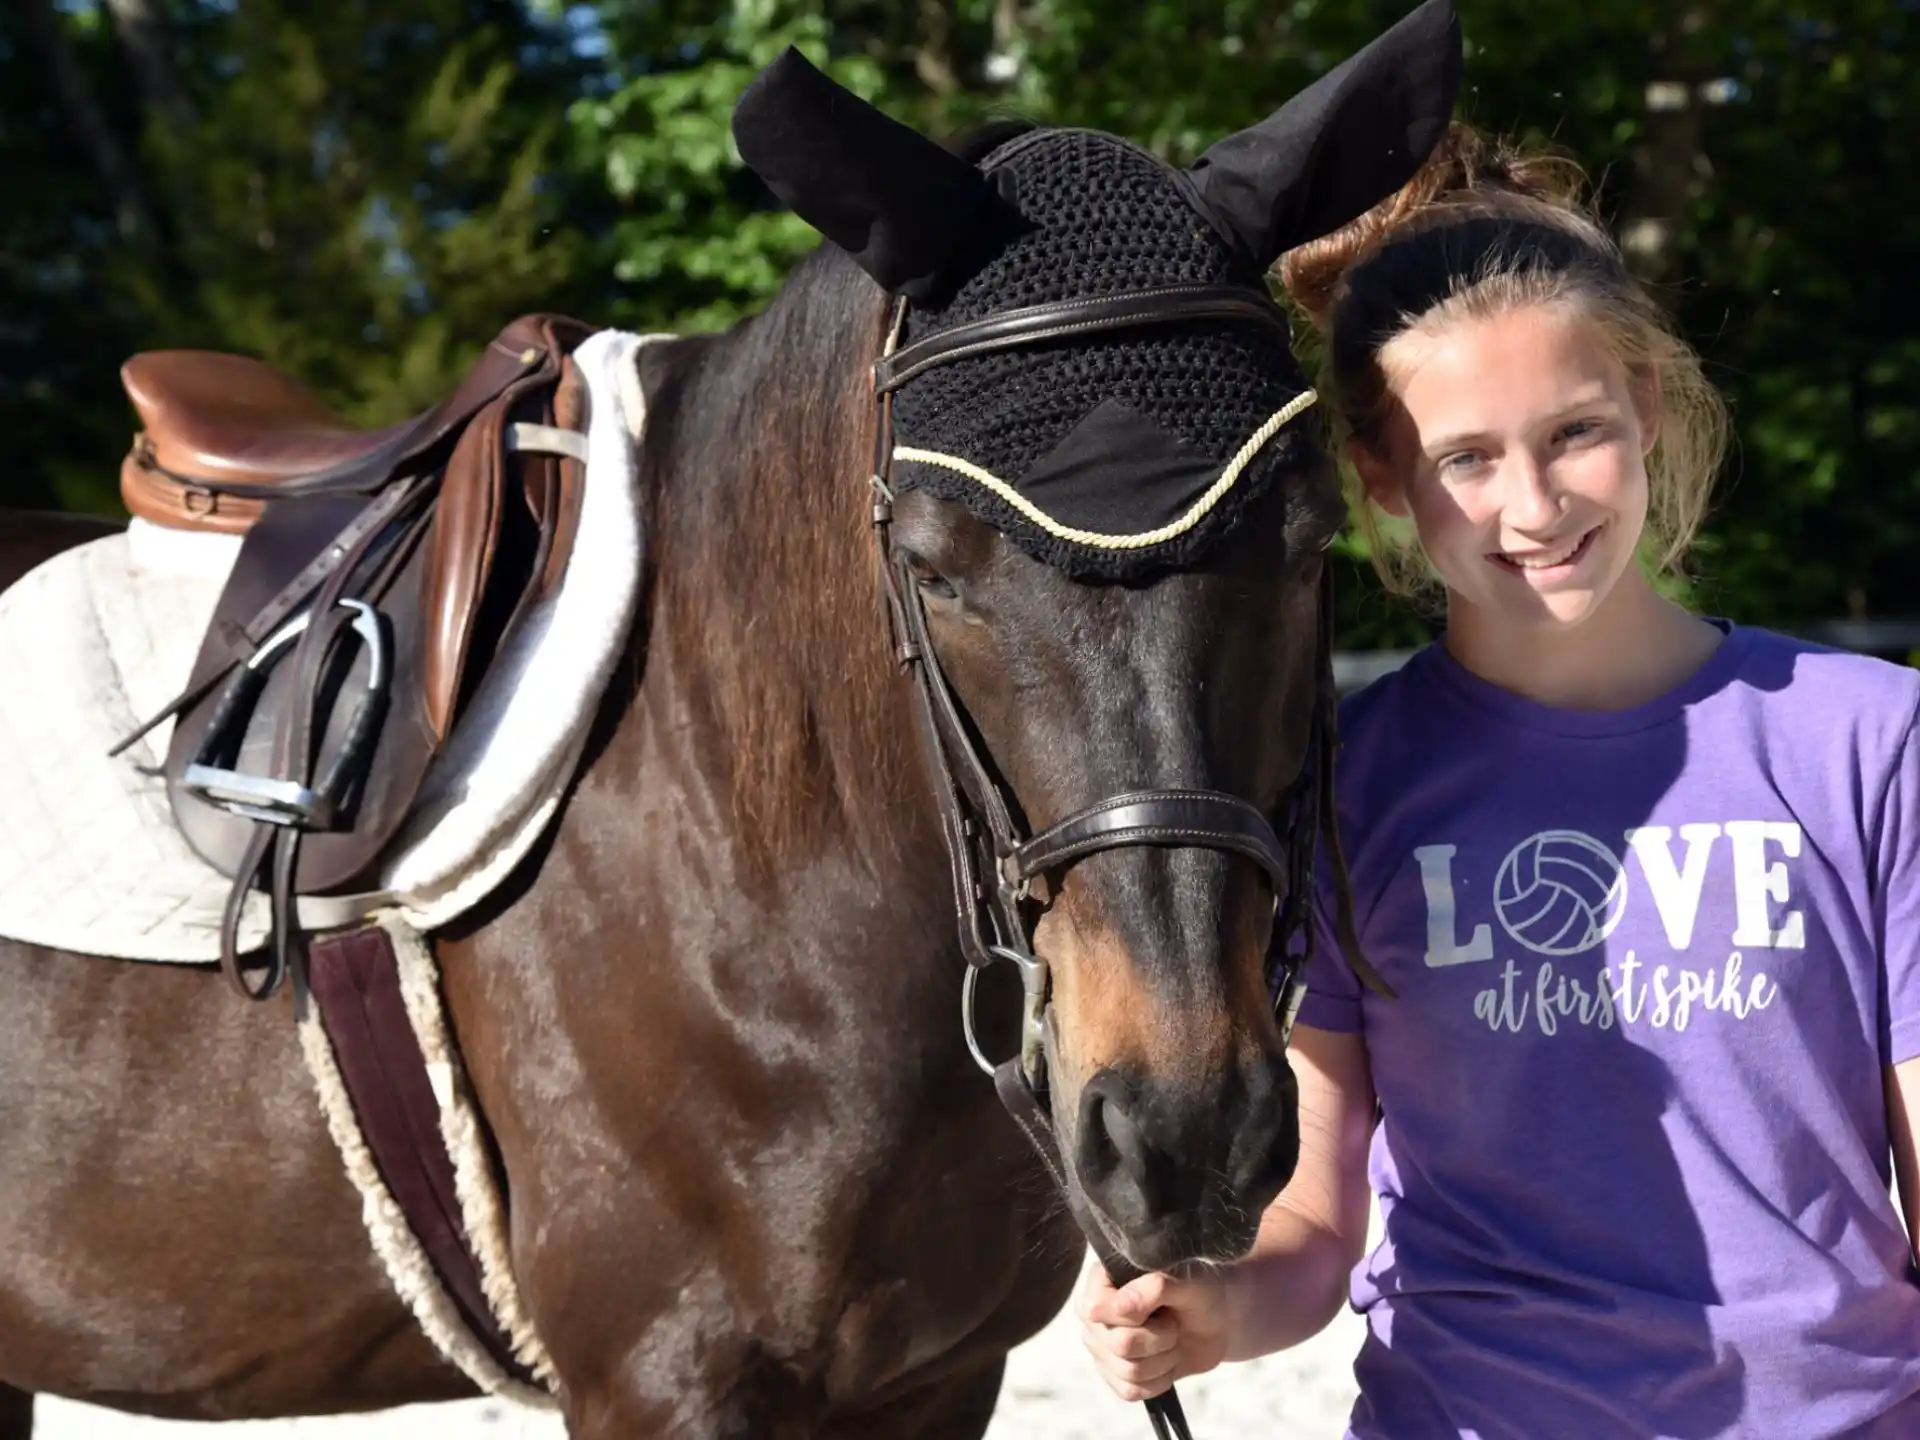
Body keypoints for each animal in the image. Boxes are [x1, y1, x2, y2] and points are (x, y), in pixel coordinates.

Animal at [0, 6, 1458, 1435]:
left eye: (1306, 541)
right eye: (932, 567)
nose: (1184, 1135)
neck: (741, 859)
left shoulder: (938, 1379)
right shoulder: (661, 1384)